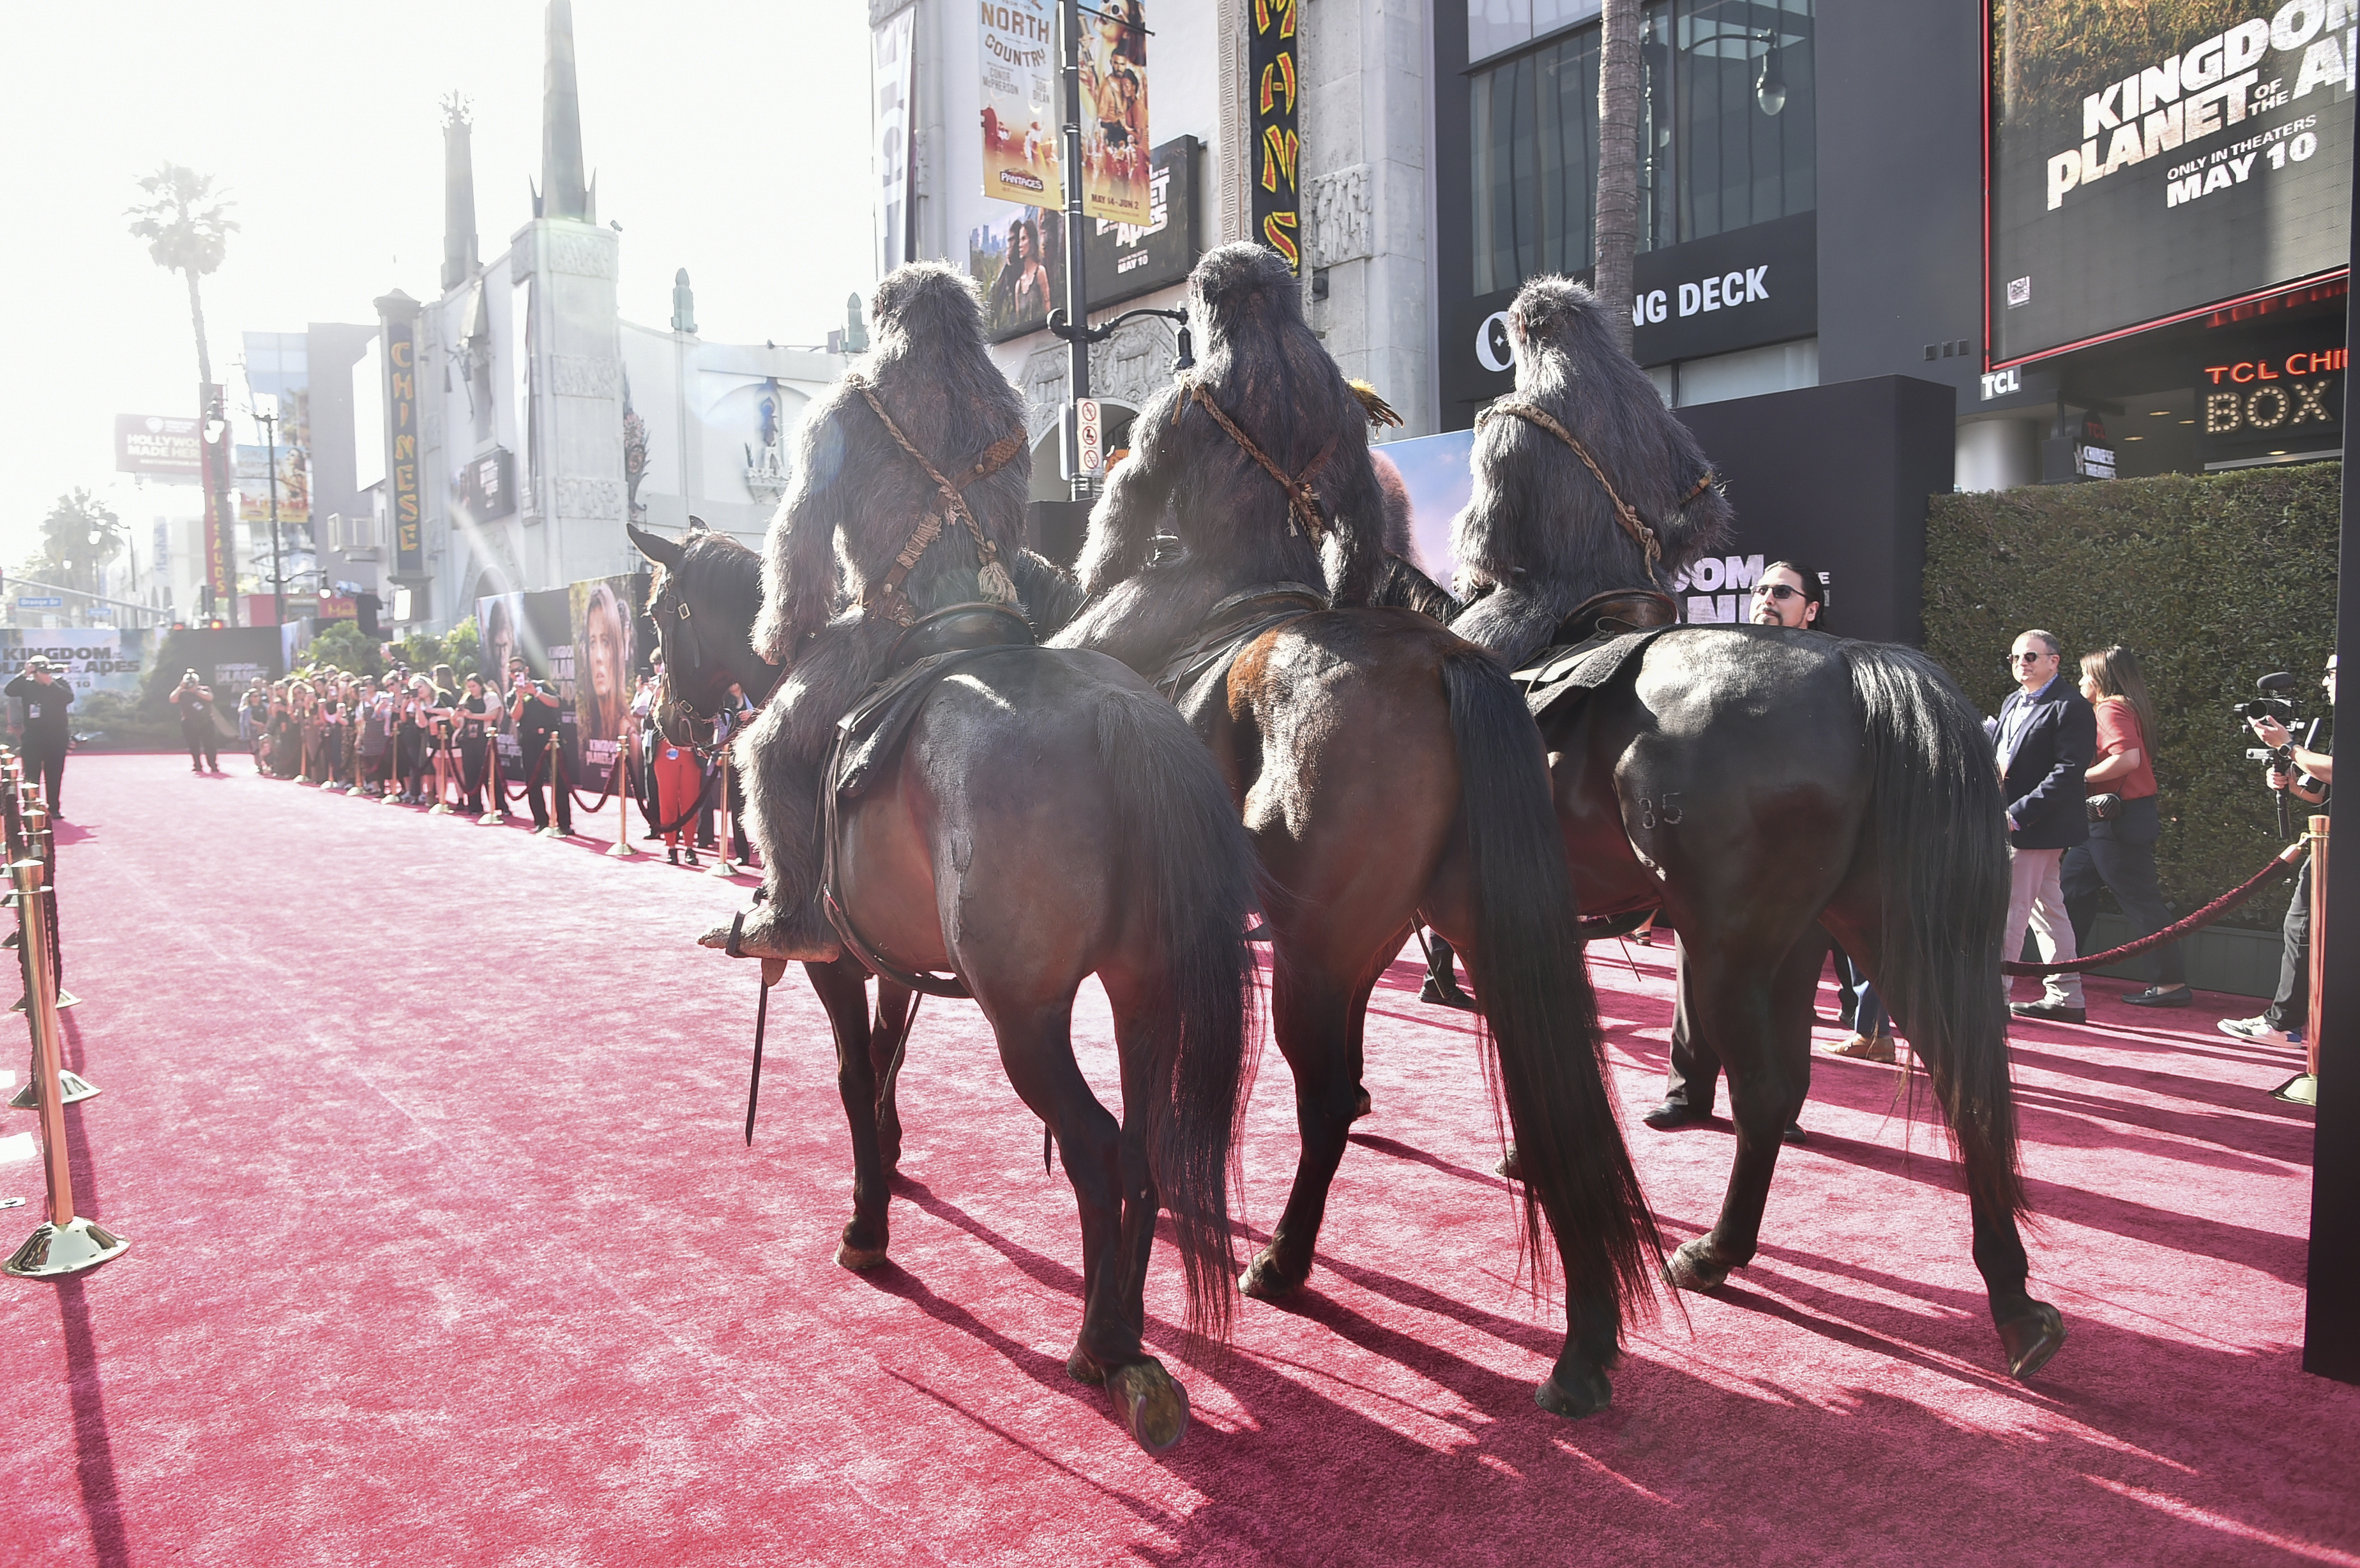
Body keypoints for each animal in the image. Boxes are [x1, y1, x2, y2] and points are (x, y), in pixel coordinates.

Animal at [623, 525, 1255, 1452]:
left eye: (664, 612)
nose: (661, 717)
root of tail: (1123, 714)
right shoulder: (893, 957)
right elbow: (890, 1052)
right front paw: (889, 1156)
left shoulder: (837, 961)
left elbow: (854, 1075)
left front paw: (867, 1224)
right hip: (1142, 996)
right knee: (1143, 1149)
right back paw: (1128, 1329)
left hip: (1027, 1021)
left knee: (1097, 1147)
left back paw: (1103, 1343)